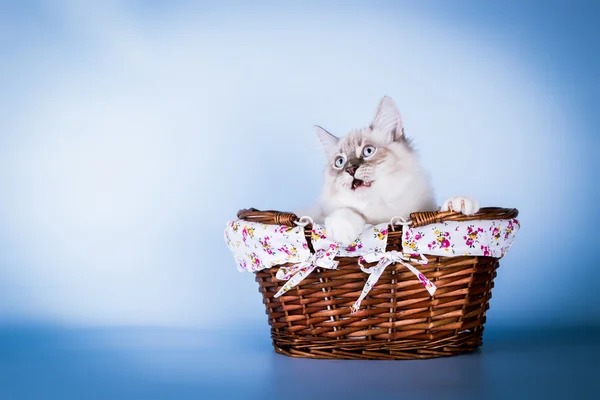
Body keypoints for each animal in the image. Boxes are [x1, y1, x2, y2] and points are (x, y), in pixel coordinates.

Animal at [302, 96, 480, 244]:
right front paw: (343, 231)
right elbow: (347, 210)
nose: (351, 169)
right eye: (340, 162)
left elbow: (441, 209)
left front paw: (458, 204)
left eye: (368, 151)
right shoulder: (321, 214)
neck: (380, 204)